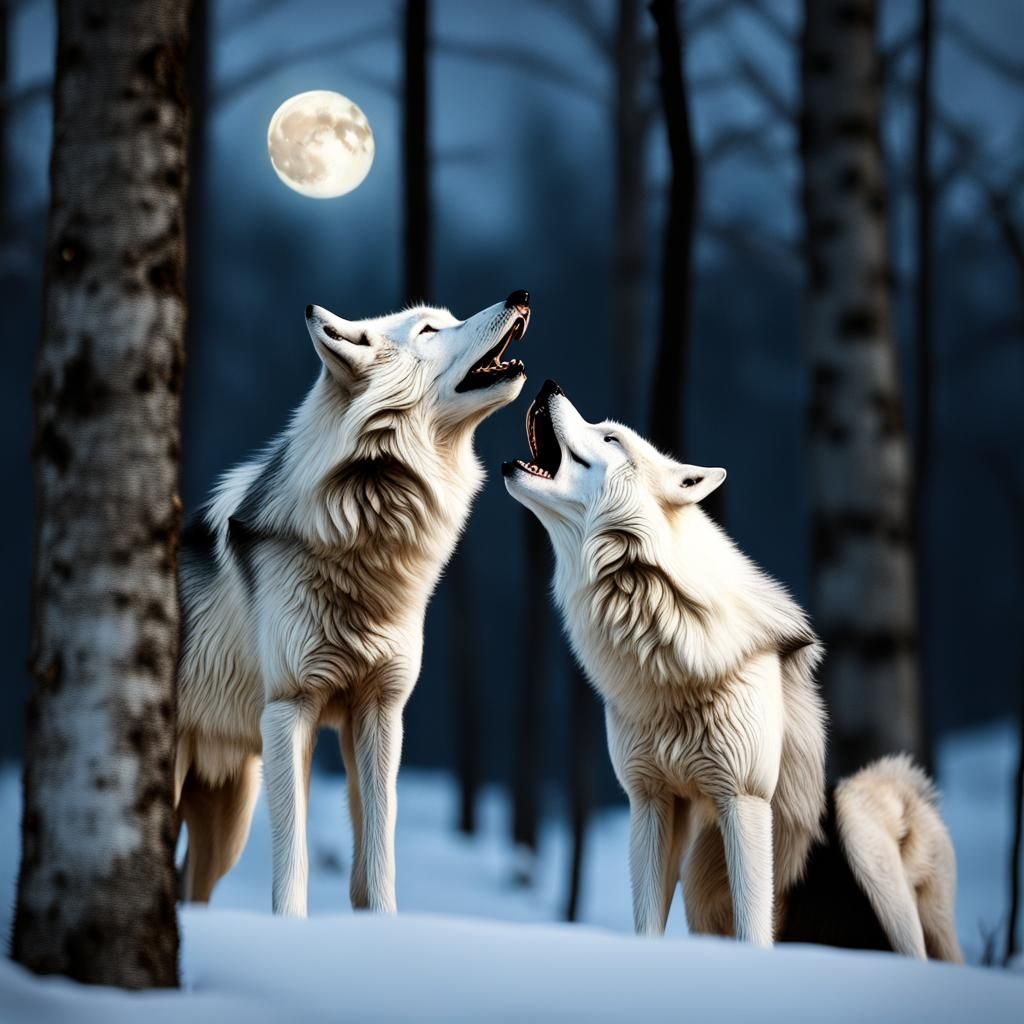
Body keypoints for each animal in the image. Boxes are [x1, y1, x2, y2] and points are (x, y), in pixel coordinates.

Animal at [176, 291, 532, 916]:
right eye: (430, 329)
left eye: (448, 318)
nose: (520, 297)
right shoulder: (290, 710)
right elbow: (293, 862)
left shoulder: (380, 713)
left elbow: (377, 860)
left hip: (226, 816)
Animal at [504, 379, 826, 947]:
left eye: (610, 437)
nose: (549, 385)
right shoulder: (650, 799)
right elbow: (646, 925)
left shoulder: (743, 798)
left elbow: (752, 929)